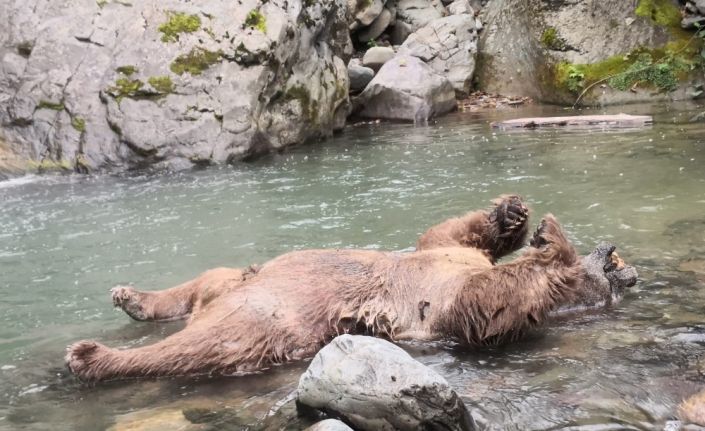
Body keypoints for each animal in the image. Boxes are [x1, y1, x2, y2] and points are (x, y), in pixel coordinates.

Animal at [66, 196, 640, 382]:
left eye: (620, 262)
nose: (615, 255)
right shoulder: (448, 254)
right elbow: (447, 234)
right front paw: (515, 215)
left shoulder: (443, 309)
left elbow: (482, 306)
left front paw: (552, 240)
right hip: (242, 283)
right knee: (204, 282)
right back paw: (131, 297)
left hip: (274, 320)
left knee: (209, 343)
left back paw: (93, 354)